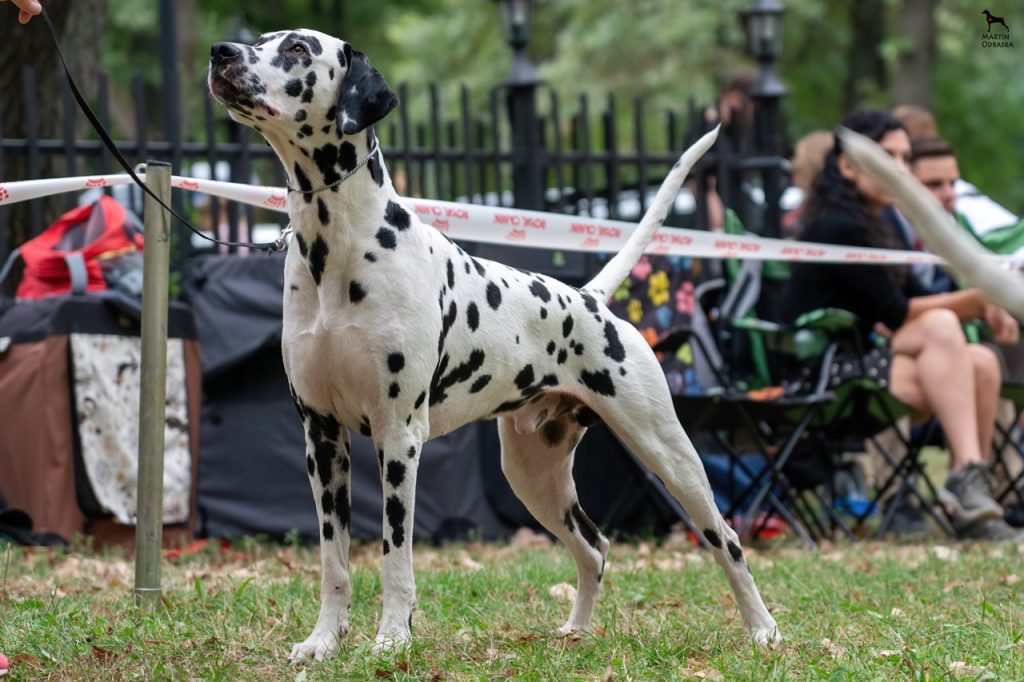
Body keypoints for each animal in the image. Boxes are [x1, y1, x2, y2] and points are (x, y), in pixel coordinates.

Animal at [208, 29, 779, 661]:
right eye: (261, 40)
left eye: (299, 50)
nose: (221, 52)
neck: (336, 246)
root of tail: (590, 298)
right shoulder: (321, 437)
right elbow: (335, 562)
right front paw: (324, 642)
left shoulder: (398, 437)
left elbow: (395, 558)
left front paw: (392, 639)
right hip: (532, 473)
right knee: (595, 548)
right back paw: (576, 630)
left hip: (670, 455)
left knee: (726, 539)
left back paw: (762, 629)